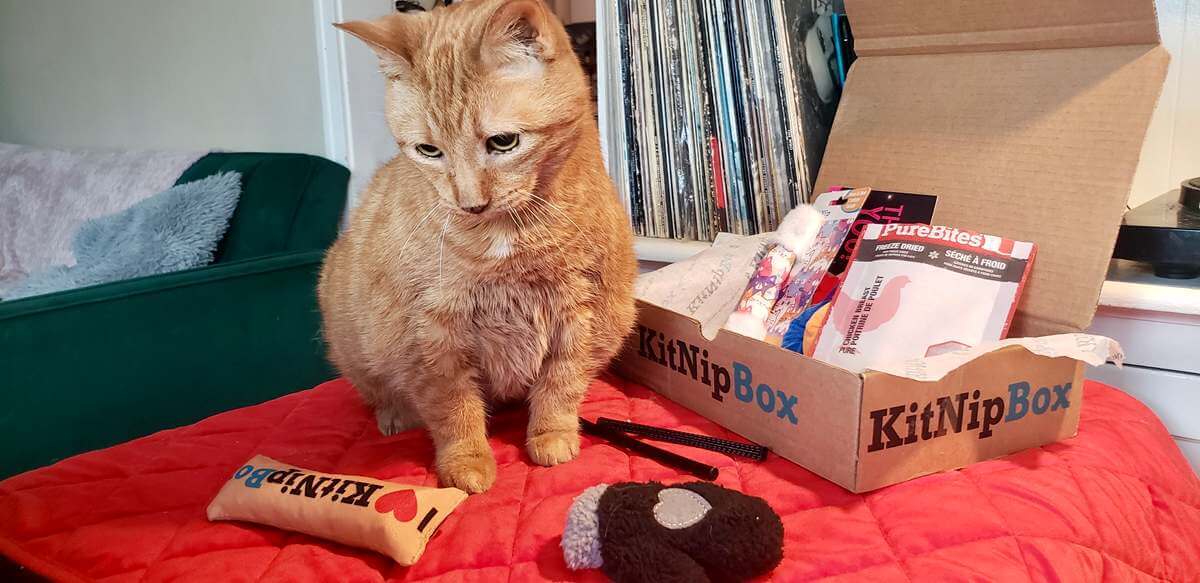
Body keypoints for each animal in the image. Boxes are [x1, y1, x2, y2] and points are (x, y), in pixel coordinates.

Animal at [319, 0, 638, 491]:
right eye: (429, 151)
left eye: (503, 142)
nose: (470, 202)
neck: (510, 239)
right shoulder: (429, 339)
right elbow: (453, 409)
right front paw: (466, 461)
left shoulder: (584, 314)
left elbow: (561, 385)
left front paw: (551, 434)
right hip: (352, 342)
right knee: (376, 391)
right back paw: (394, 414)